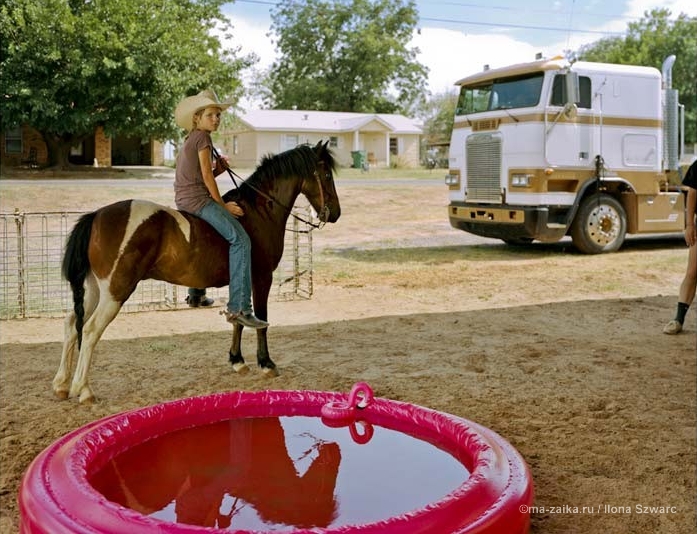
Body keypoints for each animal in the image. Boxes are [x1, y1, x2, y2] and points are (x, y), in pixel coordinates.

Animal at [52, 140, 340, 404]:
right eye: (326, 174)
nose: (335, 213)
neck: (257, 212)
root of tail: (96, 215)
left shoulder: (242, 278)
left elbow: (239, 318)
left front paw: (237, 360)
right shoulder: (261, 278)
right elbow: (261, 320)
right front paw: (266, 363)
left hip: (94, 290)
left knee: (71, 324)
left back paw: (62, 384)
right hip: (115, 292)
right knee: (90, 331)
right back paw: (84, 389)